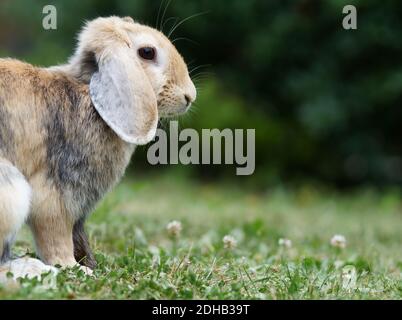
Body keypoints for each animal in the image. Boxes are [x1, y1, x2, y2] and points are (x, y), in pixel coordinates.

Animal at [0, 15, 196, 276]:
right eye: (147, 52)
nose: (189, 96)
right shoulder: (55, 197)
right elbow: (57, 240)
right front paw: (76, 269)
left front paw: (89, 265)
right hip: (12, 192)